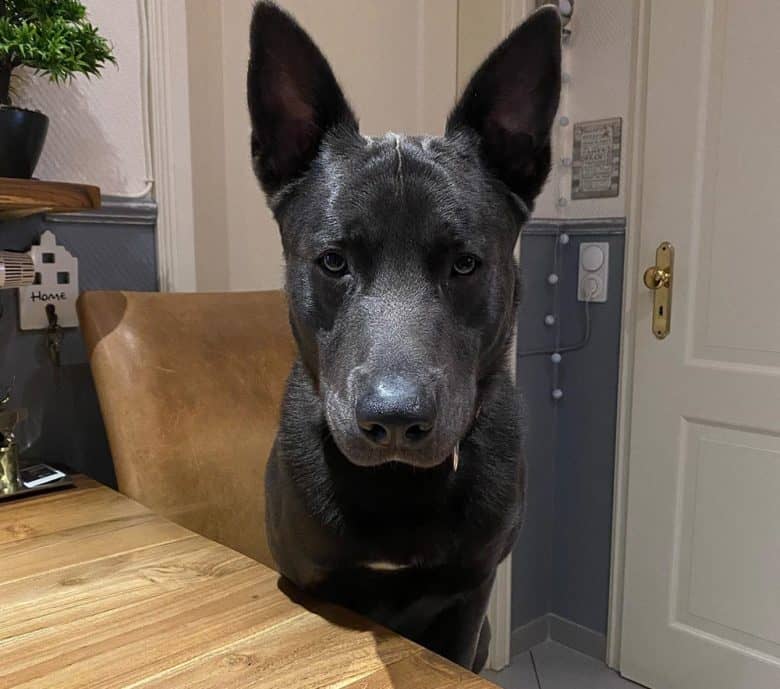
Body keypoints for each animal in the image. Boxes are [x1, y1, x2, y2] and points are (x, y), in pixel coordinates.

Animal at [247, 0, 556, 668]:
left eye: (464, 264)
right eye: (333, 261)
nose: (392, 420)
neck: (396, 483)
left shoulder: (471, 595)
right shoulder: (309, 579)